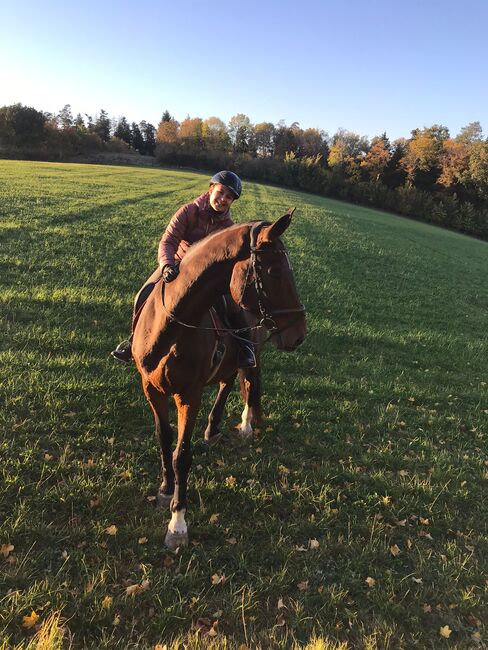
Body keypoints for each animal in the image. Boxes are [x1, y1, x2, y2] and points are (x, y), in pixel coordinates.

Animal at [132, 210, 306, 544]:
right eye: (275, 271)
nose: (299, 334)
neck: (171, 329)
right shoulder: (151, 389)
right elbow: (164, 439)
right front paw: (165, 489)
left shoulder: (189, 395)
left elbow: (182, 455)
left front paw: (177, 524)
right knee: (228, 382)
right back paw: (213, 428)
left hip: (253, 350)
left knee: (248, 381)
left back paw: (246, 424)